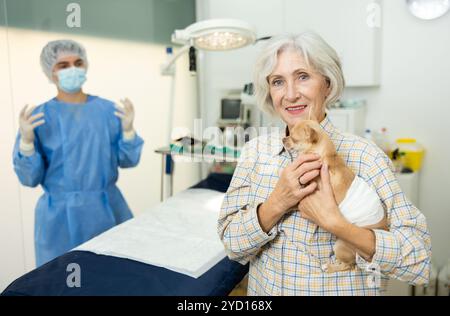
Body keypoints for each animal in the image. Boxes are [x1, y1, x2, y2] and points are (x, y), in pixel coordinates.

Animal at [284, 119, 386, 272]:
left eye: (294, 138)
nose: (283, 139)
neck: (326, 156)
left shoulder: (310, 192)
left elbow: (297, 199)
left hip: (341, 245)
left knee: (348, 265)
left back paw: (329, 267)